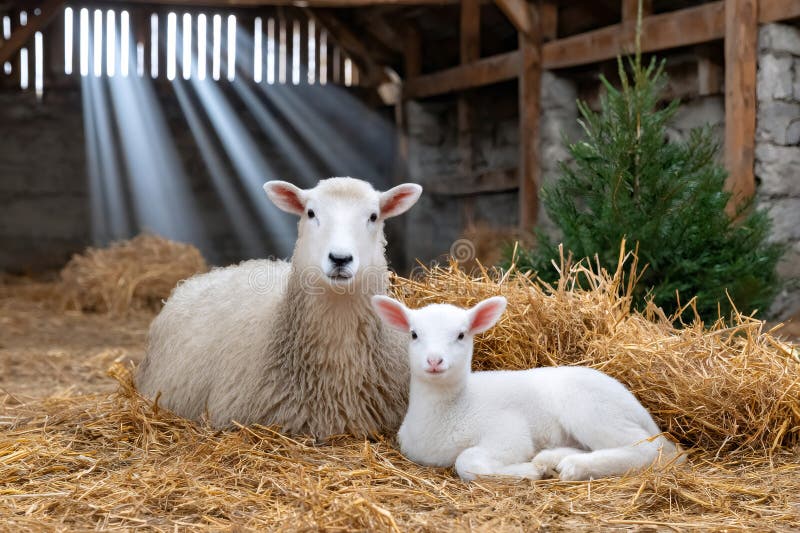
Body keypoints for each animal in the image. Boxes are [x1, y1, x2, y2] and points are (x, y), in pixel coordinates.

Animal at [371, 295, 682, 481]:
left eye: (461, 335)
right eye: (414, 334)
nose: (434, 361)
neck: (454, 407)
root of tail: (642, 412)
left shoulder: (508, 432)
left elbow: (467, 460)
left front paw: (527, 470)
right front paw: (537, 466)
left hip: (592, 408)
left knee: (650, 450)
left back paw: (574, 467)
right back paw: (554, 459)